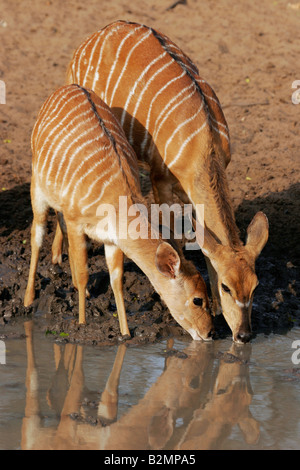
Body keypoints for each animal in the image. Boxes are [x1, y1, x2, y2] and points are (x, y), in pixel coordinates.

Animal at [24, 84, 214, 342]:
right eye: (198, 300)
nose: (209, 332)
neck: (119, 201)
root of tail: (69, 87)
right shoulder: (77, 222)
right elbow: (84, 273)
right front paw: (82, 325)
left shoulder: (112, 240)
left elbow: (117, 281)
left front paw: (125, 333)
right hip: (37, 187)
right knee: (37, 234)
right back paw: (28, 300)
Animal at [59, 21, 270, 342]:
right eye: (226, 286)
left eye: (255, 286)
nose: (244, 335)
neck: (203, 142)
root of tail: (96, 35)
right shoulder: (161, 181)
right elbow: (174, 240)